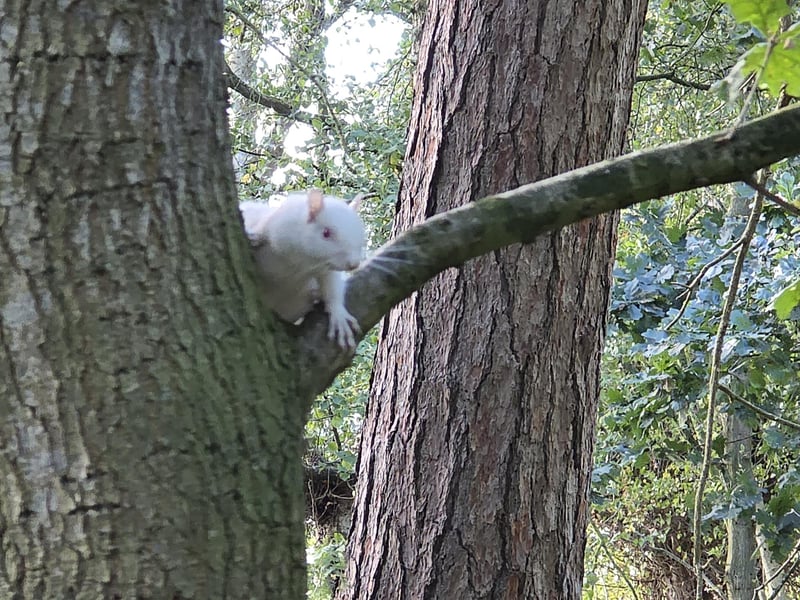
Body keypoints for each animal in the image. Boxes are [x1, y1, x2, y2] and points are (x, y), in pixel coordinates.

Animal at [239, 189, 366, 348]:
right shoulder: (277, 223)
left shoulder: (326, 269)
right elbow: (261, 229)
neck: (303, 260)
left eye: (360, 232)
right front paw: (253, 236)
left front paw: (338, 316)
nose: (354, 264)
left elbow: (332, 287)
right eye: (326, 233)